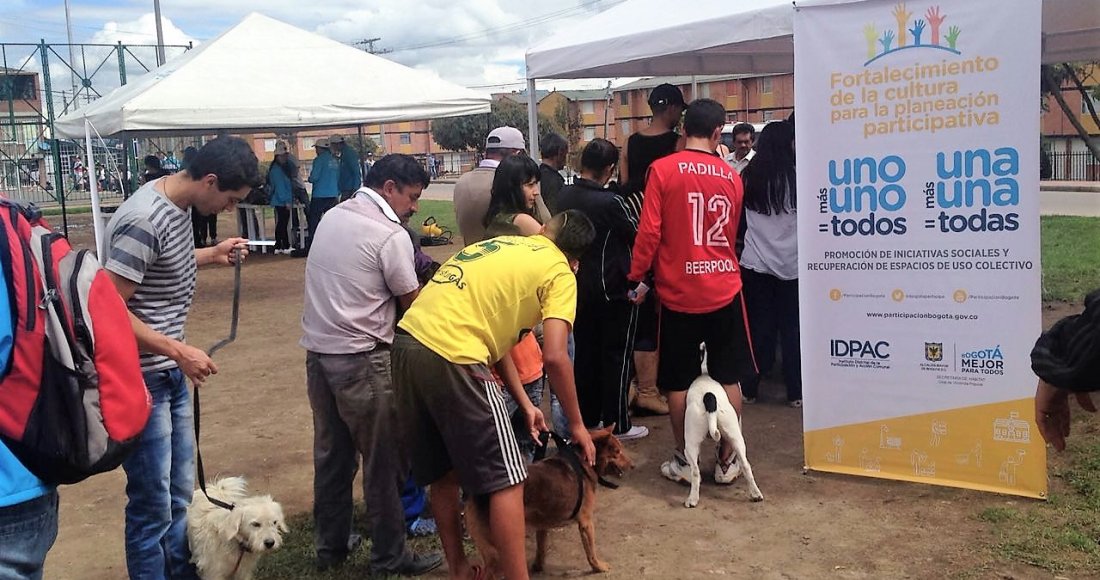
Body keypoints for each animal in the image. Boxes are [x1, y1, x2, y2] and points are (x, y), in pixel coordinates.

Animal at [466, 427, 638, 576]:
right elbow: (591, 552)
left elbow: (541, 548)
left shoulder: (542, 524)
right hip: (498, 551)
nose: (633, 465)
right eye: (617, 452)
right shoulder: (586, 523)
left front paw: (538, 566)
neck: (582, 461)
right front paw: (598, 567)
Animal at [682, 349, 761, 508]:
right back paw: (756, 494)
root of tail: (709, 397)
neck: (704, 371)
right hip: (736, 437)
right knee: (746, 465)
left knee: (695, 472)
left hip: (690, 443)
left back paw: (692, 499)